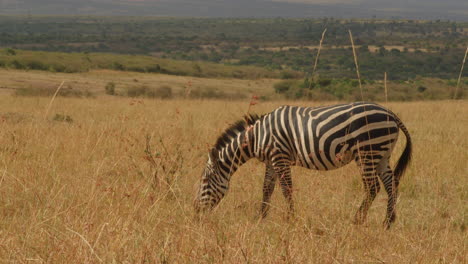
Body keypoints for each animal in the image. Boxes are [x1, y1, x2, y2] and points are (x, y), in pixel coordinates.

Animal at [196, 102, 412, 228]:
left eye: (204, 181)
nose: (196, 211)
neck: (257, 136)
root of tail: (391, 114)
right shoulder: (271, 161)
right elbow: (267, 188)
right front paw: (261, 217)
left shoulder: (280, 156)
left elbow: (286, 189)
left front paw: (290, 219)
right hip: (382, 153)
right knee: (391, 184)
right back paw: (388, 222)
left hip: (367, 151)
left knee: (372, 187)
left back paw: (357, 220)